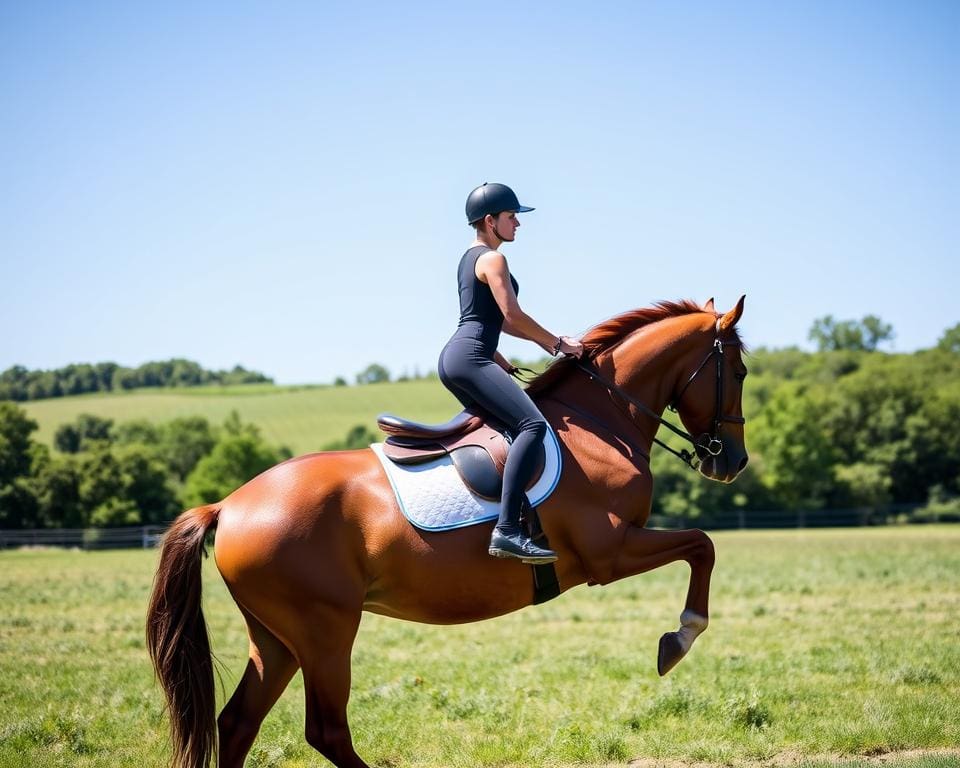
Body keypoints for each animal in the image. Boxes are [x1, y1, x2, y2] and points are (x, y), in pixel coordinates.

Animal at [148, 296, 752, 768]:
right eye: (741, 373)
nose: (733, 462)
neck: (602, 423)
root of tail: (229, 505)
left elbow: (701, 547)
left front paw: (678, 638)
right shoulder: (610, 553)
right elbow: (702, 545)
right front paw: (680, 637)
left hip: (276, 640)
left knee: (238, 724)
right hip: (324, 632)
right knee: (325, 731)